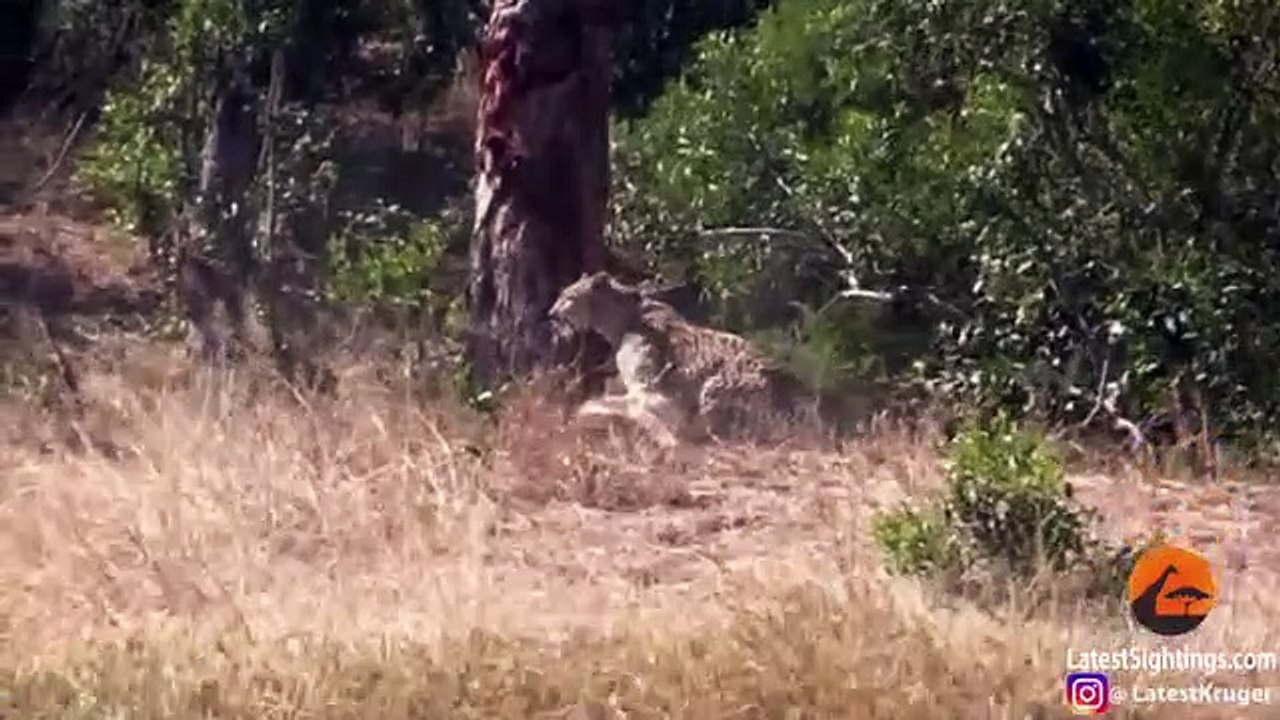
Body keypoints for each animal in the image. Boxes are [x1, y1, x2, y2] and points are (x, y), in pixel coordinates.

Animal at [548, 271, 835, 447]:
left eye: (568, 297)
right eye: (561, 294)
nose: (551, 312)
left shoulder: (650, 390)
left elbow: (615, 404)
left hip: (714, 388)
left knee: (728, 435)